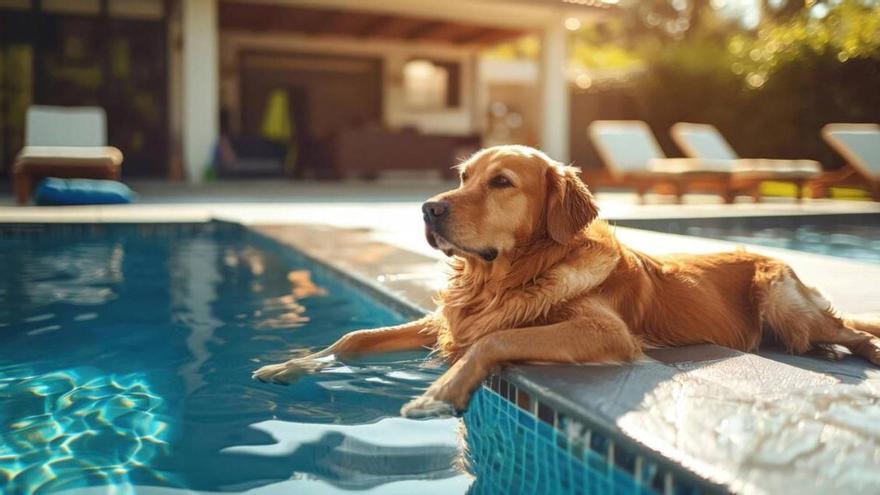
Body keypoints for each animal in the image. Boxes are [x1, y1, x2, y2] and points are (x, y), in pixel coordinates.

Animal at [253, 144, 880, 418]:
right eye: (465, 176)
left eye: (501, 182)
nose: (428, 209)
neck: (504, 277)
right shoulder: (449, 320)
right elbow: (355, 338)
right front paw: (291, 365)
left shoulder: (607, 335)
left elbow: (495, 339)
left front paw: (439, 393)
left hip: (781, 299)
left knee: (850, 331)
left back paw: (856, 349)